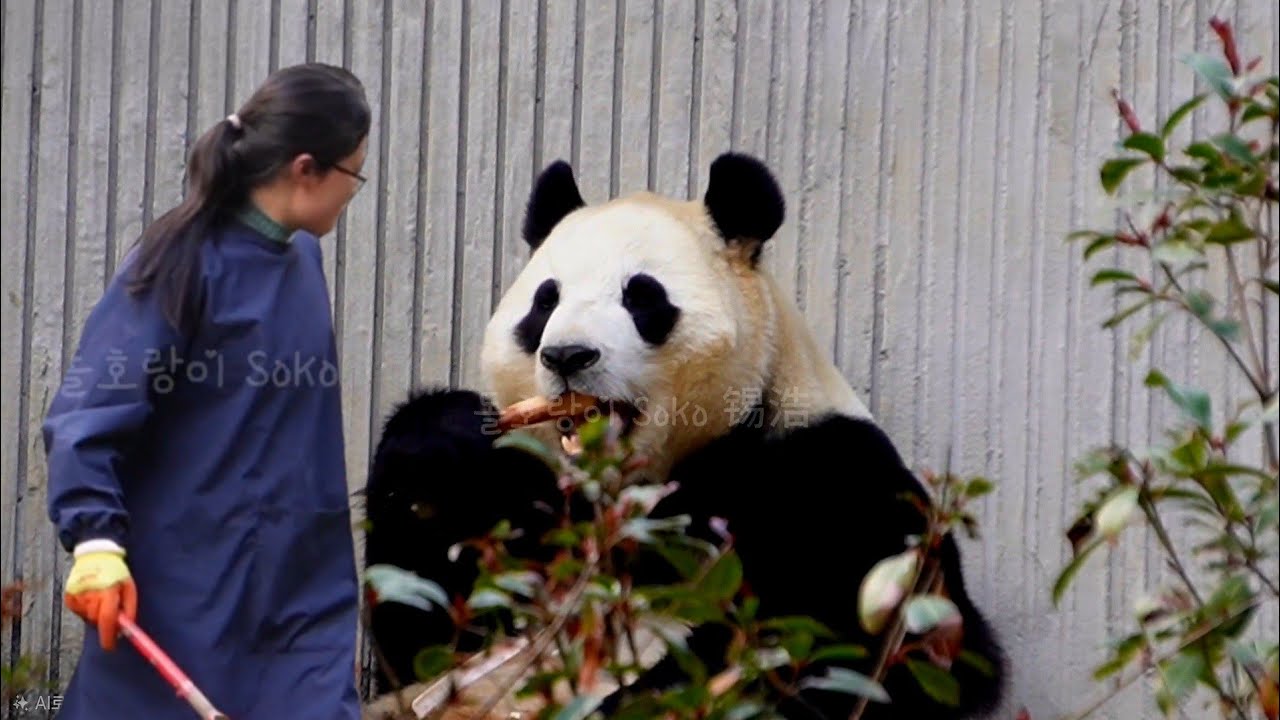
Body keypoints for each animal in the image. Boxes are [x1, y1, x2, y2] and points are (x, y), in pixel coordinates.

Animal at [362, 152, 1006, 719]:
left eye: (641, 297)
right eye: (545, 302)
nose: (568, 355)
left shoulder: (829, 469)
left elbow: (861, 644)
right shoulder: (541, 510)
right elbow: (426, 631)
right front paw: (437, 454)